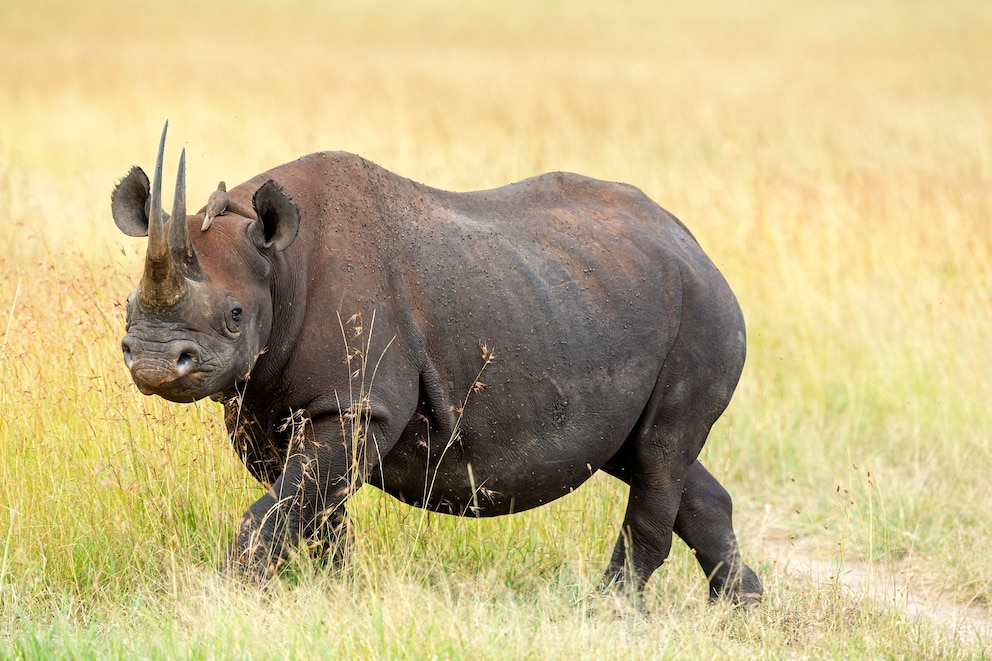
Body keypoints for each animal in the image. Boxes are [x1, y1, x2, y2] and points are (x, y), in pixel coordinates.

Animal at [112, 123, 762, 604]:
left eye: (235, 316)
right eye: (126, 306)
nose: (154, 360)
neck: (278, 264)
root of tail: (695, 245)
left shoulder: (359, 406)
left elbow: (285, 506)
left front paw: (224, 599)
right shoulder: (259, 408)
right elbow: (311, 511)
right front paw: (338, 597)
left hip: (700, 314)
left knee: (661, 451)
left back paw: (608, 614)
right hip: (611, 298)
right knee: (648, 455)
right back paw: (742, 611)